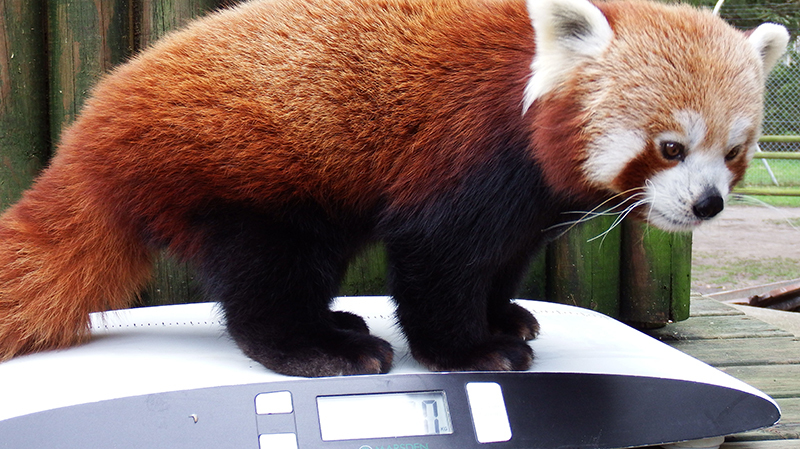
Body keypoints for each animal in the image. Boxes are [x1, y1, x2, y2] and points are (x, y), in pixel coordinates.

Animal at [0, 0, 788, 376]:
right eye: (669, 146)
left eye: (734, 152)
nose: (707, 203)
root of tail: (94, 132)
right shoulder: (465, 153)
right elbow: (436, 259)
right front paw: (470, 351)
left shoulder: (527, 204)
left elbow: (501, 260)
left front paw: (504, 317)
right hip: (247, 179)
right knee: (270, 276)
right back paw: (322, 347)